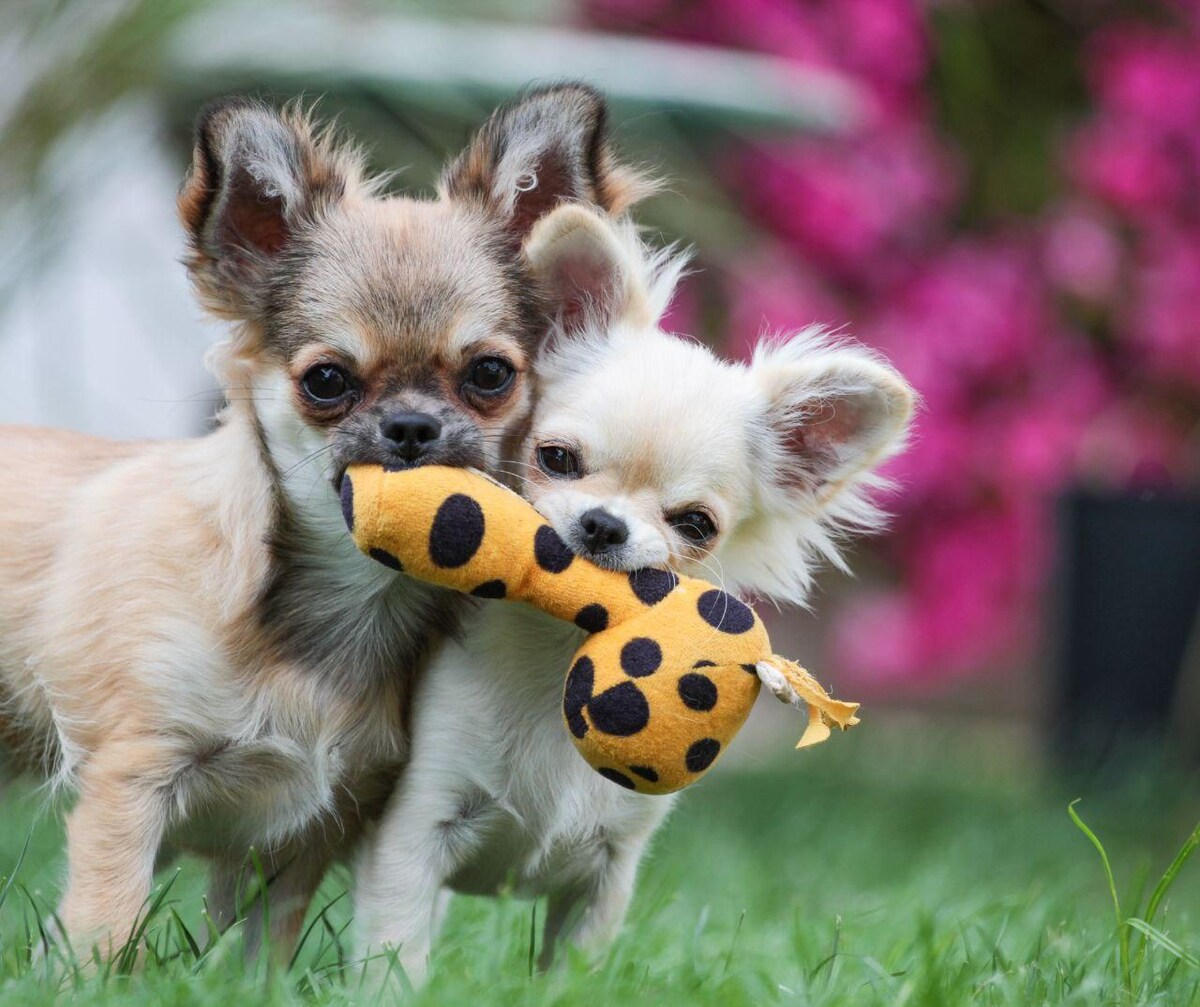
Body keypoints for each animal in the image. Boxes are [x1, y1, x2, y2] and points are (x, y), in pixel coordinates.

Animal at [0, 85, 649, 956]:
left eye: (489, 373)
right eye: (328, 381)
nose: (411, 425)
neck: (334, 613)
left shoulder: (305, 829)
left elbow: (260, 954)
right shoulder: (131, 780)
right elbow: (105, 924)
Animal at [354, 204, 916, 981]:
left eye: (696, 524)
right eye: (556, 458)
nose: (603, 524)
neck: (561, 640)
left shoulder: (608, 870)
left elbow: (571, 971)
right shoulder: (416, 827)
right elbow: (394, 950)